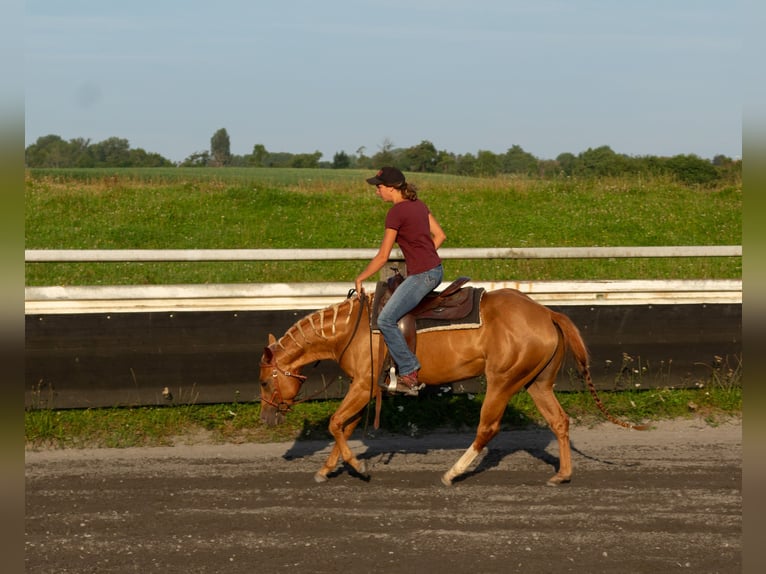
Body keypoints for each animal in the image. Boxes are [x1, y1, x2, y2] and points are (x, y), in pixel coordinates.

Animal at [260, 288, 648, 486]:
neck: (350, 330)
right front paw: (329, 468)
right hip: (537, 383)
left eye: (264, 380)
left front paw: (358, 467)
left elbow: (336, 423)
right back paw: (563, 474)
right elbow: (344, 426)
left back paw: (454, 472)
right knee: (560, 421)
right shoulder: (366, 388)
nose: (268, 417)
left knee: (487, 427)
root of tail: (547, 313)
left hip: (502, 381)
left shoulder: (364, 385)